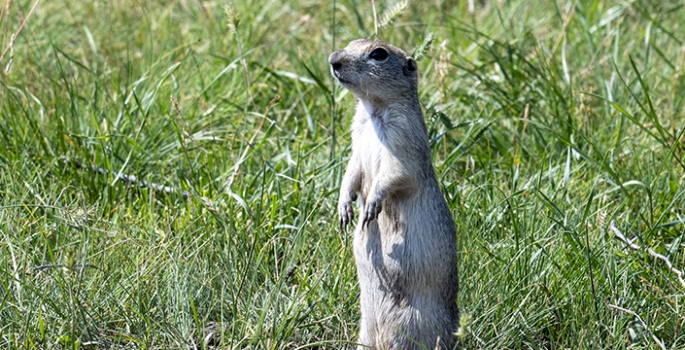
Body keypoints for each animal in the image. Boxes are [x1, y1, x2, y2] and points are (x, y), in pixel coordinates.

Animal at [330, 39, 460, 348]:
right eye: (350, 43)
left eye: (379, 54)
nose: (333, 59)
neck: (373, 111)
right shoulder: (356, 142)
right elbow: (352, 171)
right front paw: (344, 208)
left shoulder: (404, 140)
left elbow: (397, 173)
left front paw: (371, 206)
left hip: (410, 326)